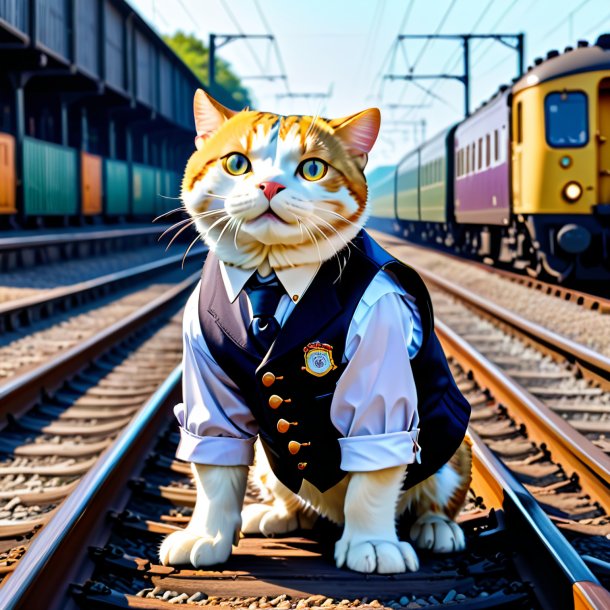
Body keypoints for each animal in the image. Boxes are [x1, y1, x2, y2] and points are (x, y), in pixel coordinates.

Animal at [158, 88, 470, 572]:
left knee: (433, 491)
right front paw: (205, 536)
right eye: (237, 163)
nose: (269, 185)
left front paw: (371, 545)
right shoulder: (205, 372)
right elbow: (215, 462)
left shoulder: (380, 361)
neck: (269, 274)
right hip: (268, 464)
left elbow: (375, 468)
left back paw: (436, 527)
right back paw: (275, 516)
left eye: (313, 168)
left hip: (457, 449)